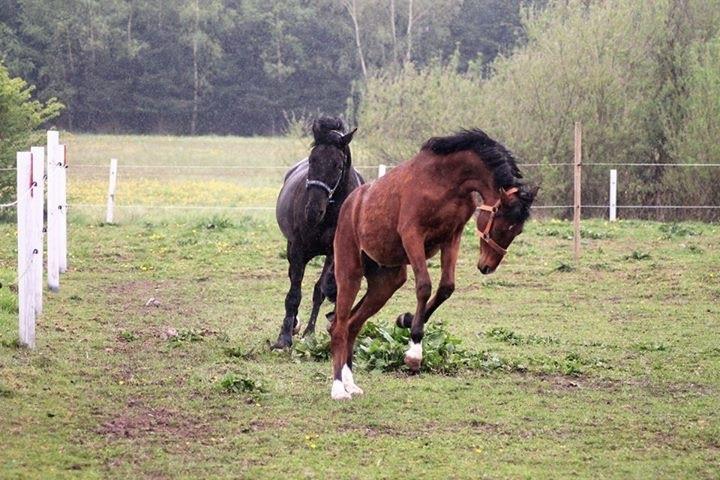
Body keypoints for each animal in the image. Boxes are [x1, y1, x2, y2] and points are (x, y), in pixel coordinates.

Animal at [276, 117, 366, 348]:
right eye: (312, 160)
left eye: (338, 165)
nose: (313, 211)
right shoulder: (298, 250)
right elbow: (294, 294)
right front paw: (284, 338)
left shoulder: (334, 252)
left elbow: (322, 289)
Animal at [330, 129, 536, 400]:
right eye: (502, 225)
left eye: (518, 230)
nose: (487, 266)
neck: (445, 181)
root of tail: (350, 204)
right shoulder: (412, 235)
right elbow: (424, 286)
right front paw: (414, 351)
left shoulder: (452, 237)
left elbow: (446, 287)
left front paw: (405, 319)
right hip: (350, 273)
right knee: (339, 326)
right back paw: (338, 389)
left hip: (386, 283)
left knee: (353, 324)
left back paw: (350, 383)